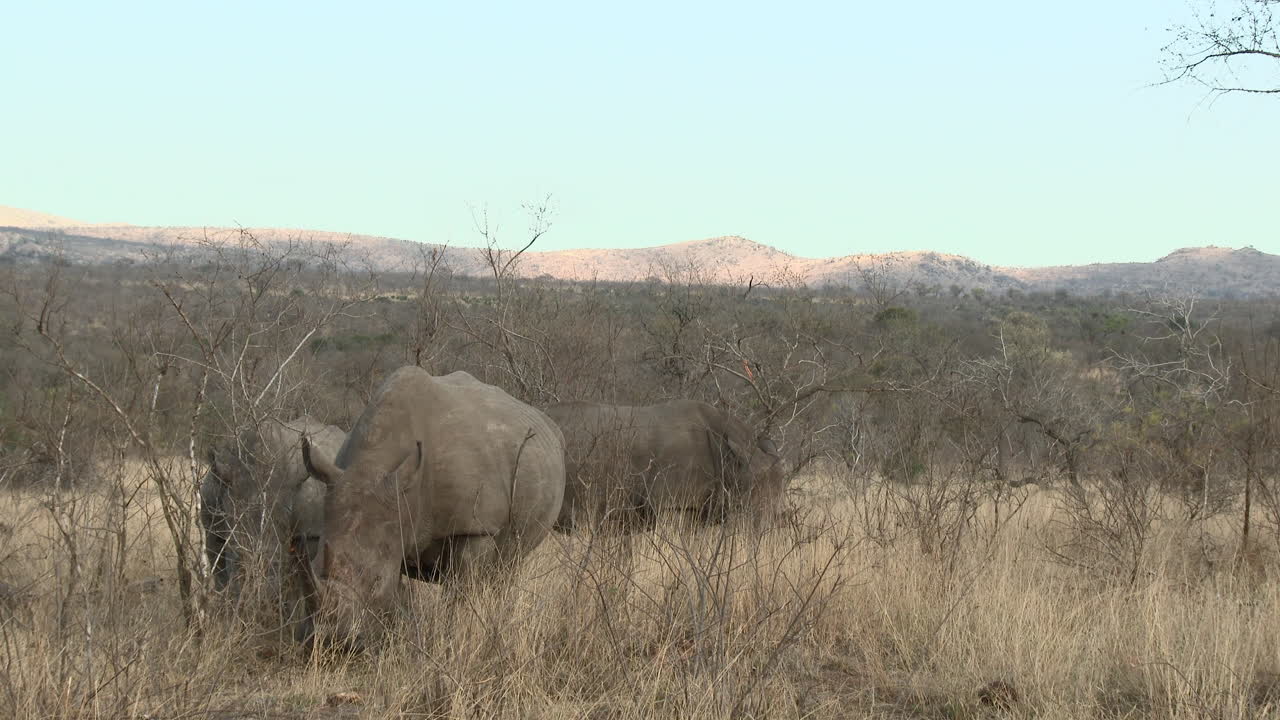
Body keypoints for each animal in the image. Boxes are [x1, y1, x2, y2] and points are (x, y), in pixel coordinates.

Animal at [200, 415, 346, 626]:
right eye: (237, 557)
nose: (263, 600)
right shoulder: (212, 527)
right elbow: (220, 576)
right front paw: (227, 617)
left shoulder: (309, 532)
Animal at [300, 367, 566, 650]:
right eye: (313, 562)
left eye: (376, 581)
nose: (331, 641)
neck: (374, 462)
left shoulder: (476, 527)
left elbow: (461, 597)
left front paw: (454, 640)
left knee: (508, 566)